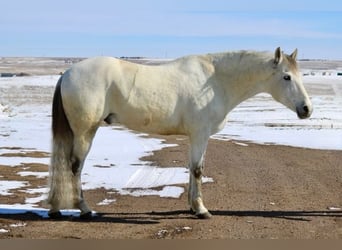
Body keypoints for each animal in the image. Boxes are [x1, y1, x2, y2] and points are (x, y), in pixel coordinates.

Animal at [47, 47, 312, 219]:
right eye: (286, 77)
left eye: (299, 75)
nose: (306, 109)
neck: (215, 81)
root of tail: (67, 73)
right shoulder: (200, 134)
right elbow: (197, 170)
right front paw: (202, 210)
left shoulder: (196, 137)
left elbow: (193, 168)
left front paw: (192, 207)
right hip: (85, 132)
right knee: (75, 166)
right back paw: (84, 209)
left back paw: (56, 208)